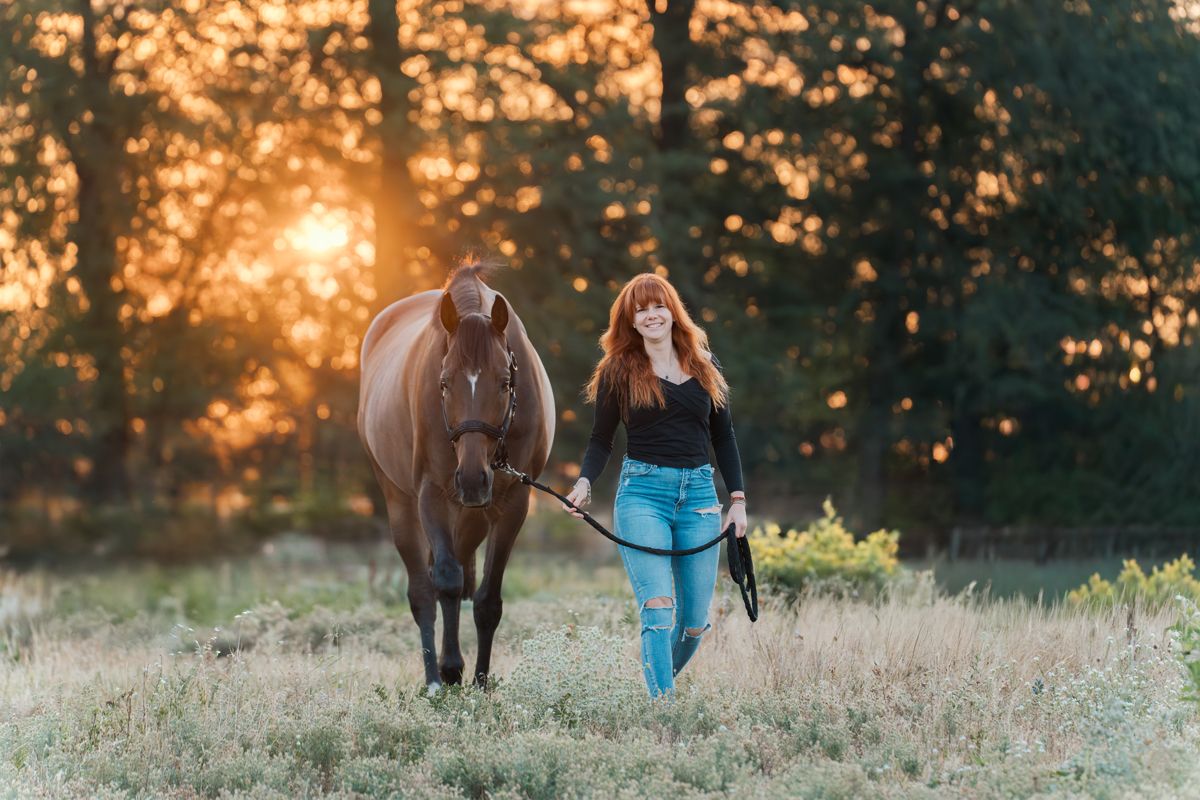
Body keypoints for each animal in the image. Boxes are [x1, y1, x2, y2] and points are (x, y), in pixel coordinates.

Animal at [357, 261, 555, 691]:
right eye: (444, 382)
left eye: (505, 381)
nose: (472, 479)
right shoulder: (431, 493)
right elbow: (444, 582)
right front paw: (450, 670)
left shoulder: (512, 502)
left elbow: (487, 600)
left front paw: (480, 681)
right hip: (400, 500)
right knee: (423, 589)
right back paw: (433, 679)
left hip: (472, 516)